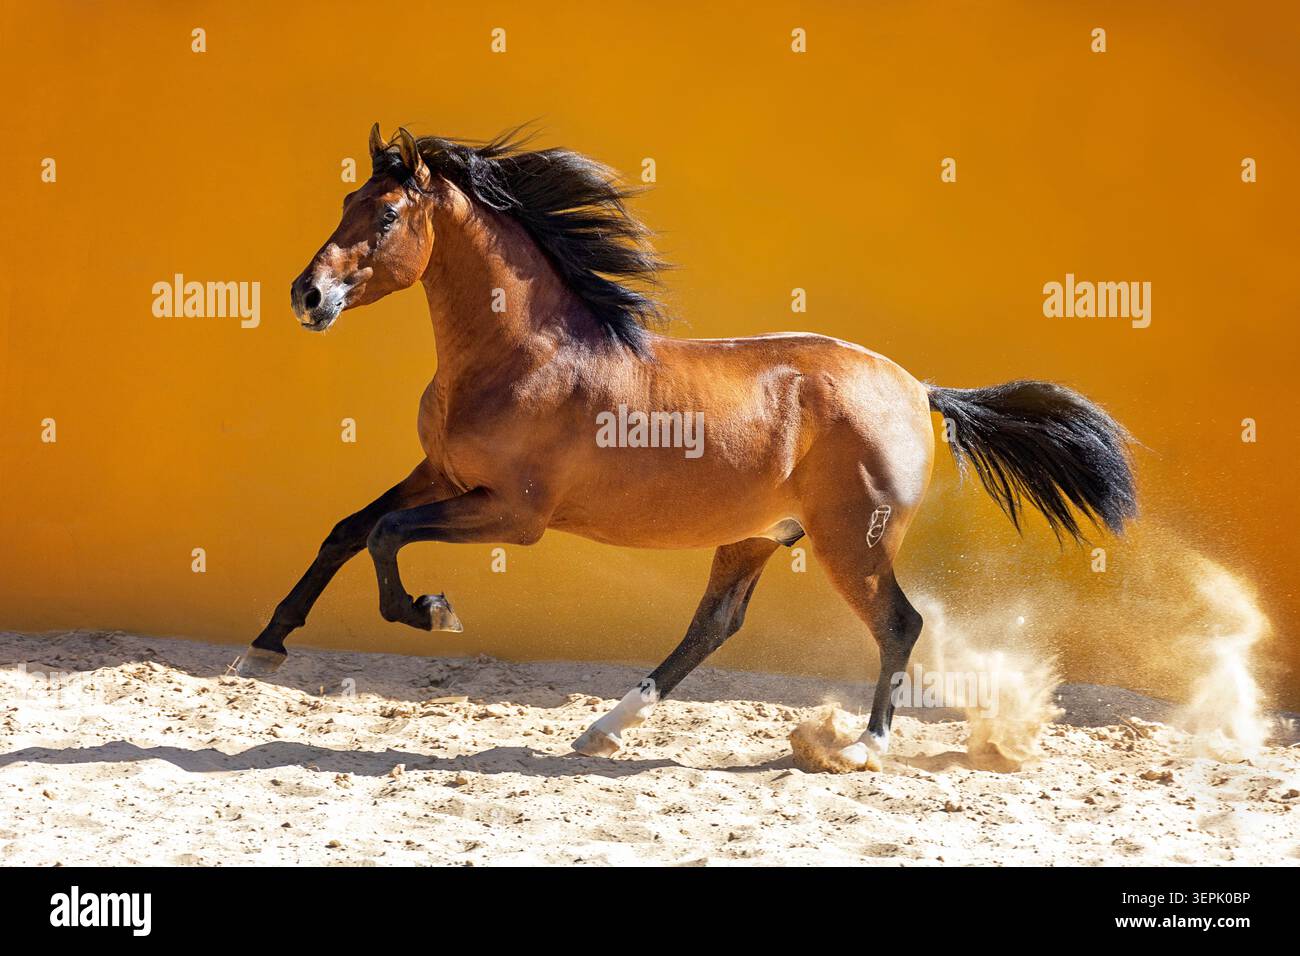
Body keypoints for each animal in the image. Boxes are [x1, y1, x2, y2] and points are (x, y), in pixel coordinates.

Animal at [237, 124, 1137, 768]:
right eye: (347, 198)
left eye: (386, 215)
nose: (307, 295)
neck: (525, 354)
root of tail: (919, 388)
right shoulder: (439, 472)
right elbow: (348, 530)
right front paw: (266, 647)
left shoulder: (512, 516)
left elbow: (386, 536)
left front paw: (430, 610)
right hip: (755, 537)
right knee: (714, 627)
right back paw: (601, 731)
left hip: (853, 540)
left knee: (899, 625)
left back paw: (864, 747)